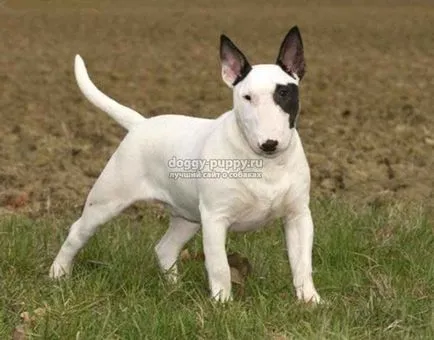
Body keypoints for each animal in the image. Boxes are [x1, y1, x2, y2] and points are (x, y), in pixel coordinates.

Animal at [51, 25, 322, 302]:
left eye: (284, 92)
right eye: (247, 97)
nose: (269, 144)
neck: (265, 164)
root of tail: (140, 124)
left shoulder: (298, 216)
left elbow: (302, 263)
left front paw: (310, 301)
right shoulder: (215, 218)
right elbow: (220, 266)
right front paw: (223, 303)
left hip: (187, 216)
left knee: (165, 248)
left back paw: (174, 288)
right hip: (107, 200)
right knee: (77, 231)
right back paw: (58, 274)